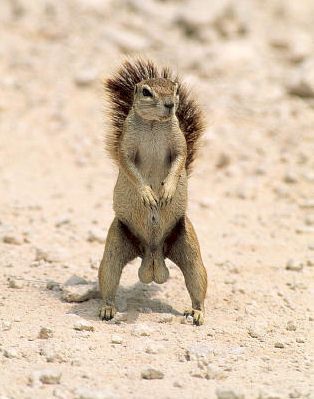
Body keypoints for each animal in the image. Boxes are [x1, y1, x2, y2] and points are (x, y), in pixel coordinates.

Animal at [97, 61, 206, 326]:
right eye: (146, 92)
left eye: (174, 89)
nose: (170, 104)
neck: (154, 124)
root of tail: (153, 254)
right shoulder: (126, 146)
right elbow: (129, 167)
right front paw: (147, 194)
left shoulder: (179, 142)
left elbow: (179, 160)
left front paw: (166, 190)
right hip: (115, 246)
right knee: (109, 279)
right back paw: (107, 309)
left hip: (189, 248)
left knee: (196, 282)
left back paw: (197, 312)